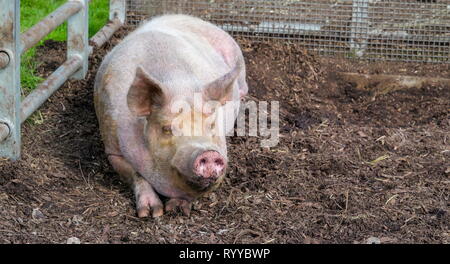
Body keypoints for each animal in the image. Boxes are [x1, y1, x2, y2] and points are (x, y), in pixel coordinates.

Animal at [94, 13, 248, 218]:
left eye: (212, 125)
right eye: (167, 129)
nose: (208, 153)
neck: (179, 87)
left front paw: (177, 209)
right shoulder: (112, 148)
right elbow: (137, 174)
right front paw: (152, 213)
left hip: (235, 53)